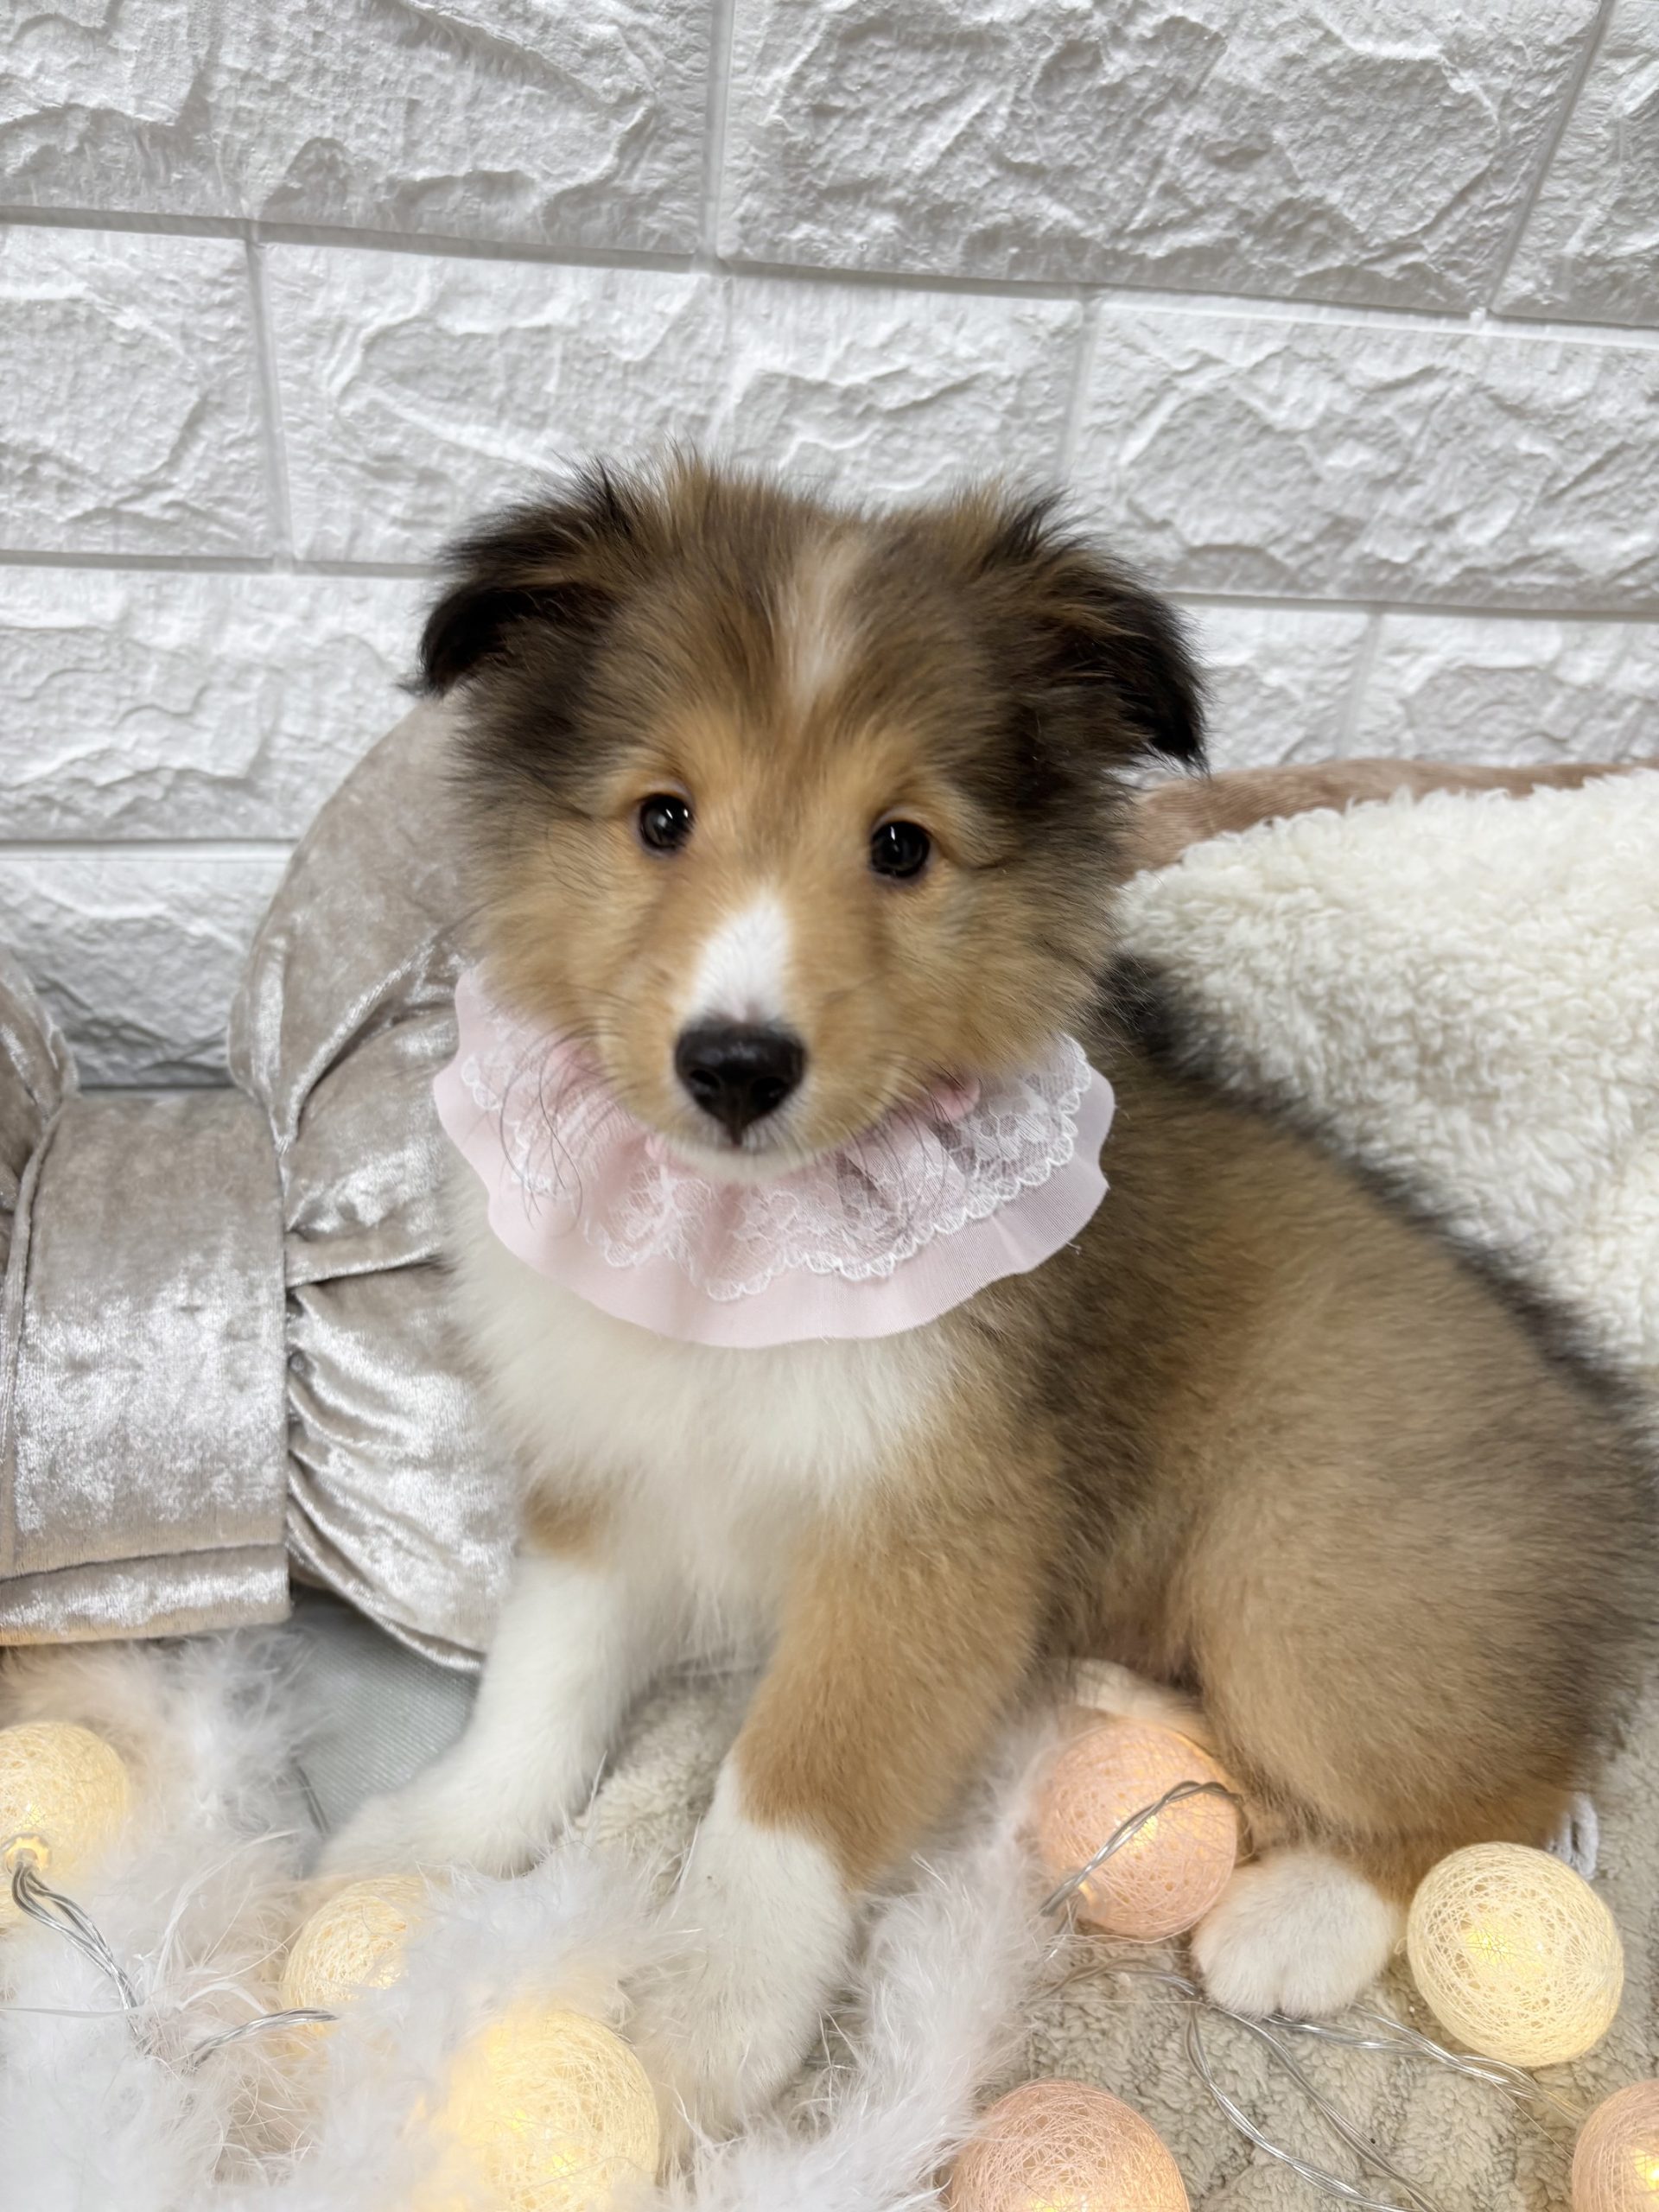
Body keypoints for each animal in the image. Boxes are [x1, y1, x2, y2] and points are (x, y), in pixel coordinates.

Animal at [326, 456, 1652, 2132]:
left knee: (1508, 1793)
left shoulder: (926, 1550)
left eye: (902, 845)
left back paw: (1297, 1921)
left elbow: (785, 1798)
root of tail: (1608, 1453)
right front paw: (438, 1836)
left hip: (1310, 1580)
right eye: (662, 818)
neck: (746, 1244)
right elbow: (539, 1686)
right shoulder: (604, 1471)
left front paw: (699, 2017)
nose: (738, 1065)